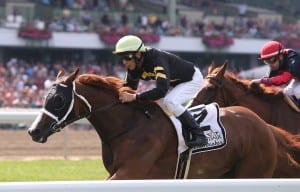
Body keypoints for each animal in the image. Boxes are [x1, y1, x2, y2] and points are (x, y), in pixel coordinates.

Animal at [28, 68, 278, 178]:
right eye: (46, 97)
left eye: (58, 100)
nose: (33, 130)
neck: (130, 125)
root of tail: (264, 126)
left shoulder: (132, 171)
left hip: (251, 172)